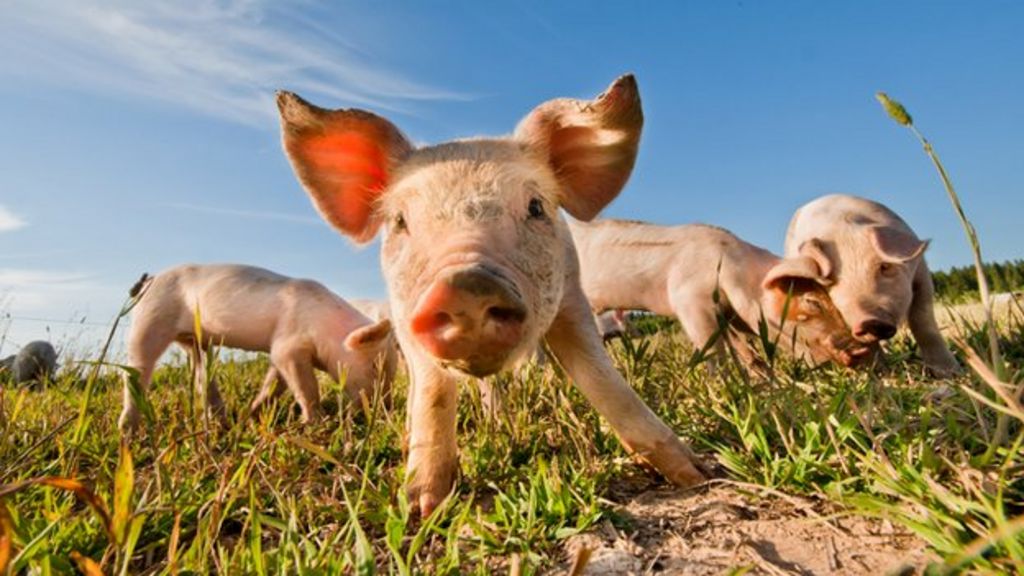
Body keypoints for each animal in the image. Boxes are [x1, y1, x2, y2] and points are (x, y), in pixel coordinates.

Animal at [118, 264, 394, 430]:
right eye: (374, 367)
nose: (387, 410)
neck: (326, 327)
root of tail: (149, 281)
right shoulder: (288, 343)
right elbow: (305, 386)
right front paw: (315, 422)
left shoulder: (281, 350)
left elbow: (274, 382)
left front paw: (251, 415)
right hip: (150, 317)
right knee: (137, 368)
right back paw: (127, 430)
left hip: (194, 340)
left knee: (201, 372)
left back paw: (221, 420)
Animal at [277, 74, 707, 515]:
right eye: (399, 221)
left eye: (535, 206)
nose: (465, 284)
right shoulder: (405, 318)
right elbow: (432, 392)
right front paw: (422, 508)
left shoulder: (572, 296)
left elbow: (601, 377)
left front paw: (695, 475)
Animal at [571, 219, 874, 368]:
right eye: (811, 302)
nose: (862, 350)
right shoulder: (690, 301)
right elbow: (714, 352)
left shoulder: (727, 315)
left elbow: (747, 352)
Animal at [784, 194, 960, 376]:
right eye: (830, 284)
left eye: (885, 266)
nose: (869, 321)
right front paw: (880, 372)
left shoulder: (921, 273)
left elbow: (923, 321)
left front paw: (950, 373)